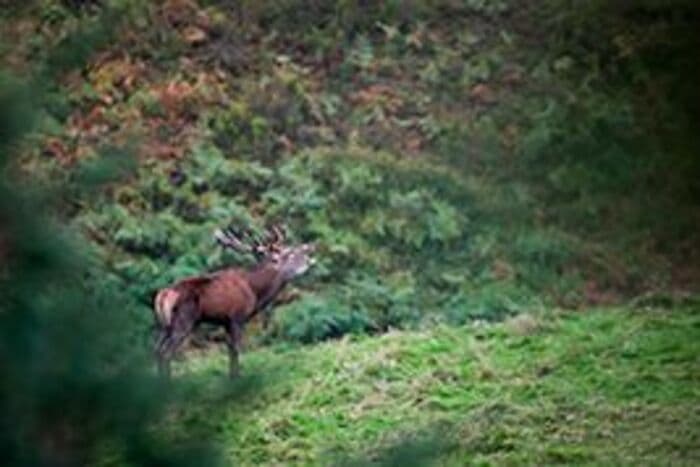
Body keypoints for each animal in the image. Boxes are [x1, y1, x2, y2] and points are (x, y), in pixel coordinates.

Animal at [153, 224, 315, 378]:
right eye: (289, 254)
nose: (309, 257)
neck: (255, 292)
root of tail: (164, 294)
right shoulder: (237, 317)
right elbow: (236, 349)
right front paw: (237, 378)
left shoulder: (225, 322)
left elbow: (230, 349)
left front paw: (231, 377)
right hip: (183, 320)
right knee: (166, 353)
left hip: (164, 325)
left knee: (157, 350)